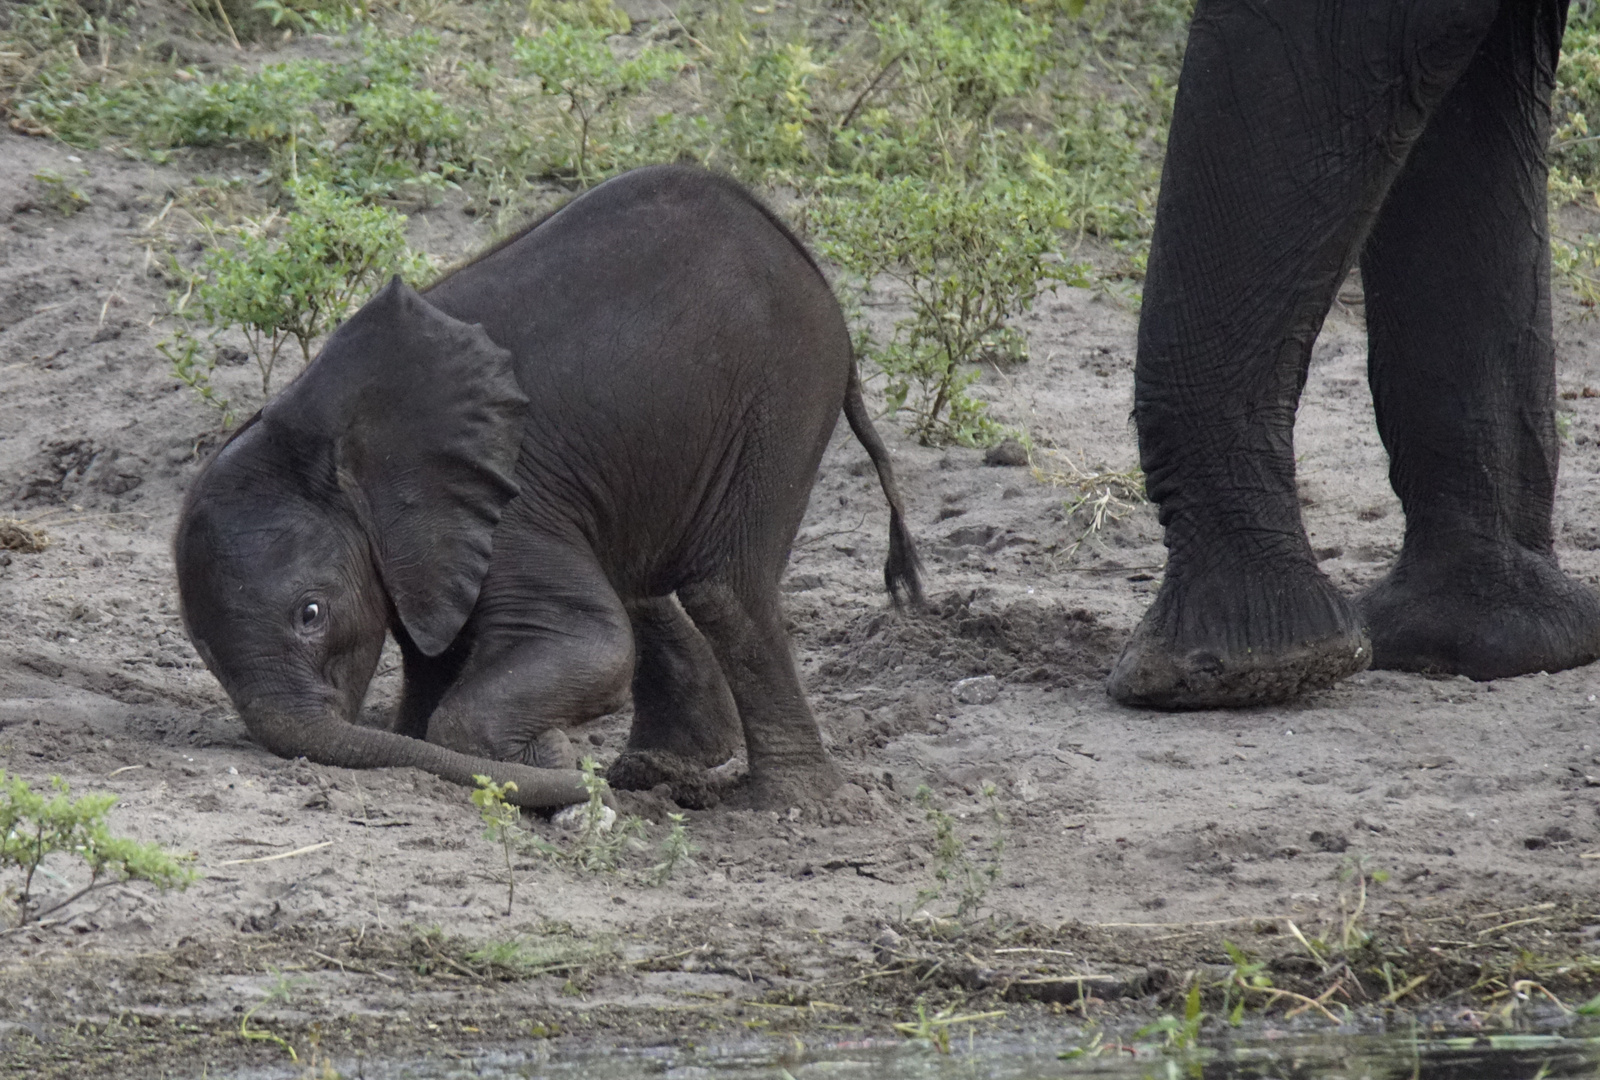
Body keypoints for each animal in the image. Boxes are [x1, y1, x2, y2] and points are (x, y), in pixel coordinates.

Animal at [175, 167, 921, 812]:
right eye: (203, 652)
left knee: (725, 593)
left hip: (784, 395)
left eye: (311, 615)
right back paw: (659, 768)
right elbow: (438, 658)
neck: (316, 429)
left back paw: (788, 806)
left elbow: (588, 644)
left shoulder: (506, 507)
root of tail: (800, 254)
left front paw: (545, 765)